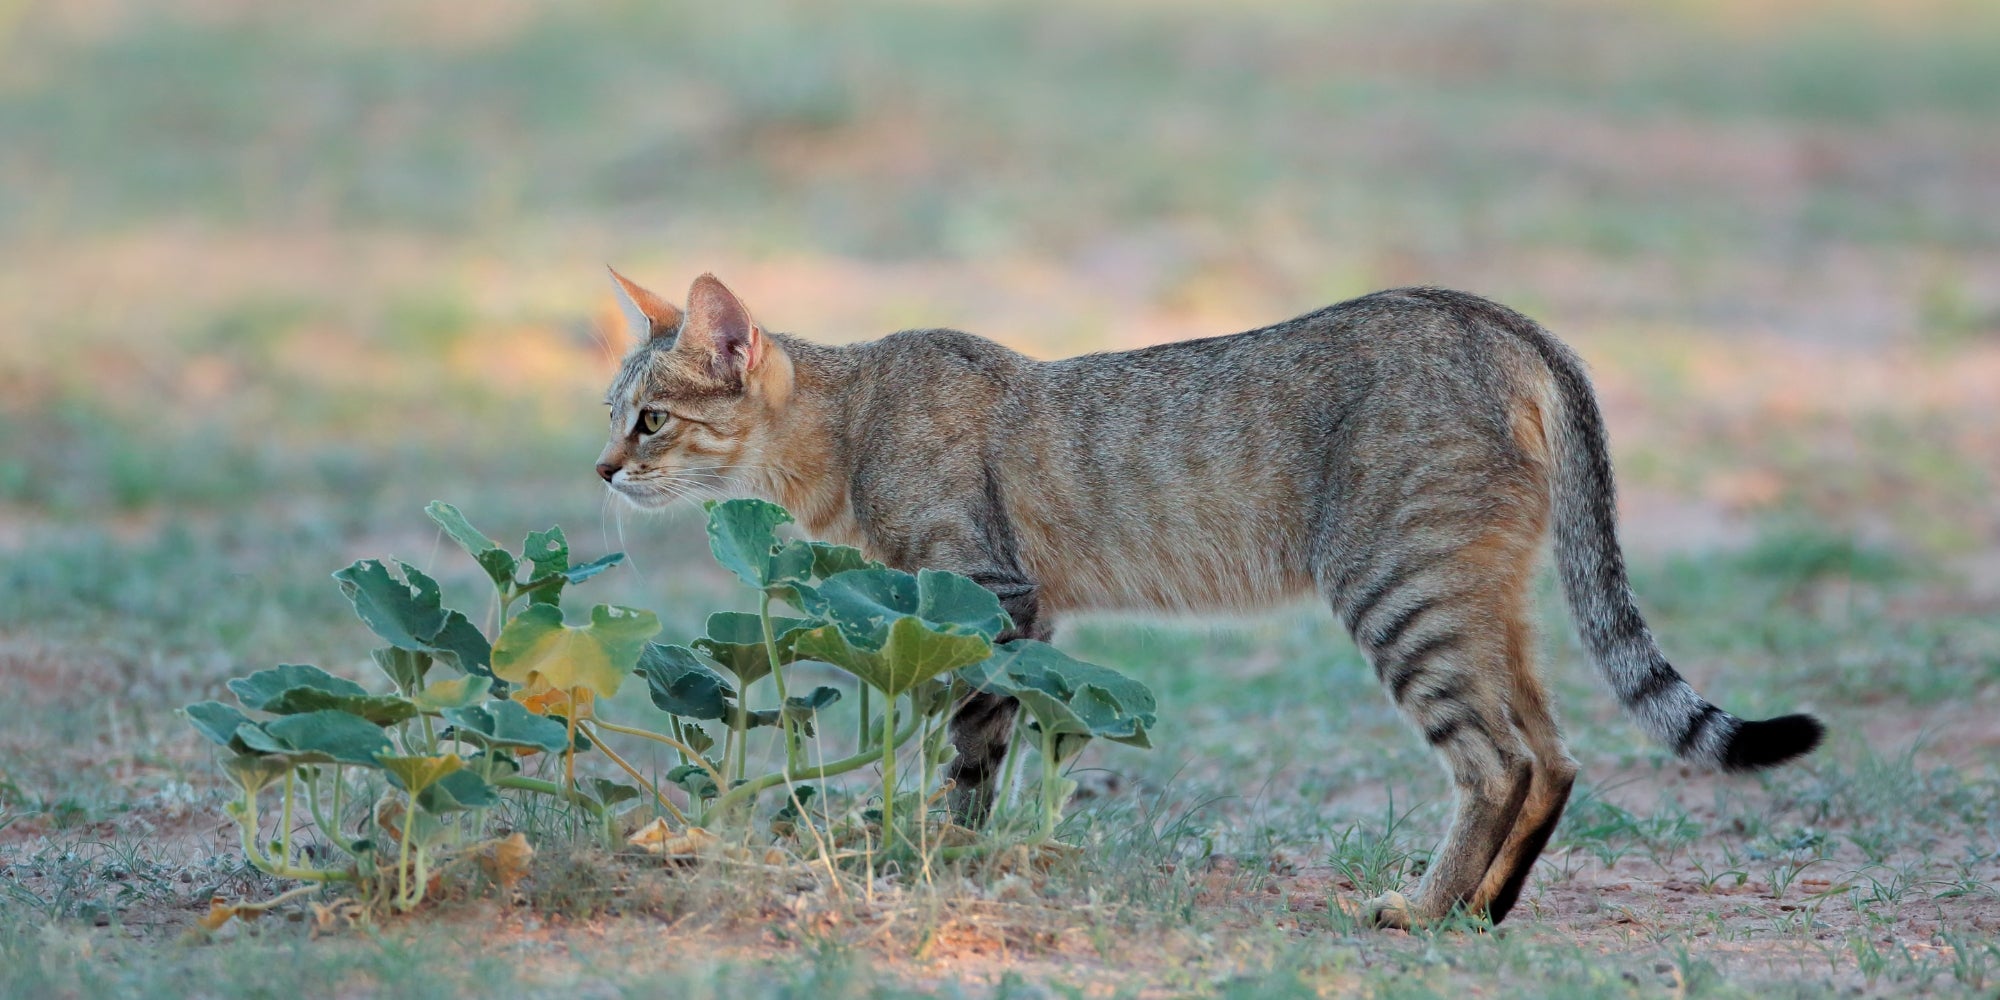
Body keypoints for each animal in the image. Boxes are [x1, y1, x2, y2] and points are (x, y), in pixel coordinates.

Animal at [584, 268, 1824, 928]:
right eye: (610, 414)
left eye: (649, 419)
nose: (597, 470)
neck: (849, 420)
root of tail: (1498, 318)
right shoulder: (1026, 618)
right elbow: (1011, 738)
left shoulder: (989, 596)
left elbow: (969, 752)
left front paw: (932, 850)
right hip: (1480, 597)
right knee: (1555, 751)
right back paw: (1481, 908)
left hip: (1399, 592)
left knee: (1497, 760)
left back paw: (1423, 909)